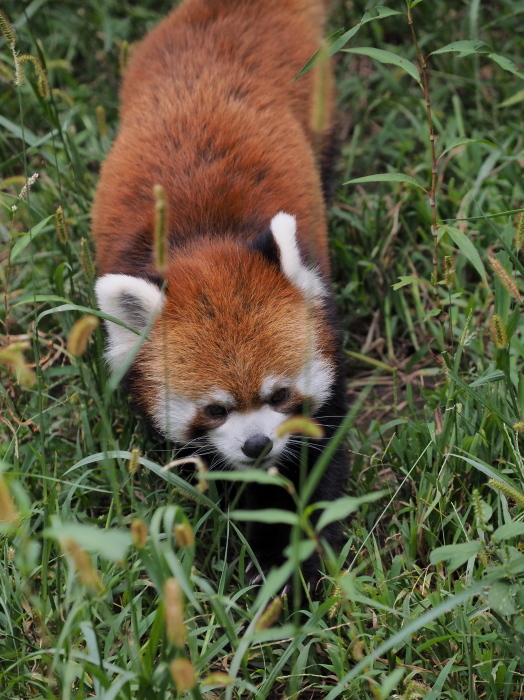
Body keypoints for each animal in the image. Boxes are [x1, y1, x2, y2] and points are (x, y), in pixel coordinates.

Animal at [93, 0, 348, 592]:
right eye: (214, 409)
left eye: (279, 394)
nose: (257, 446)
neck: (207, 240)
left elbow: (317, 464)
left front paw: (294, 568)